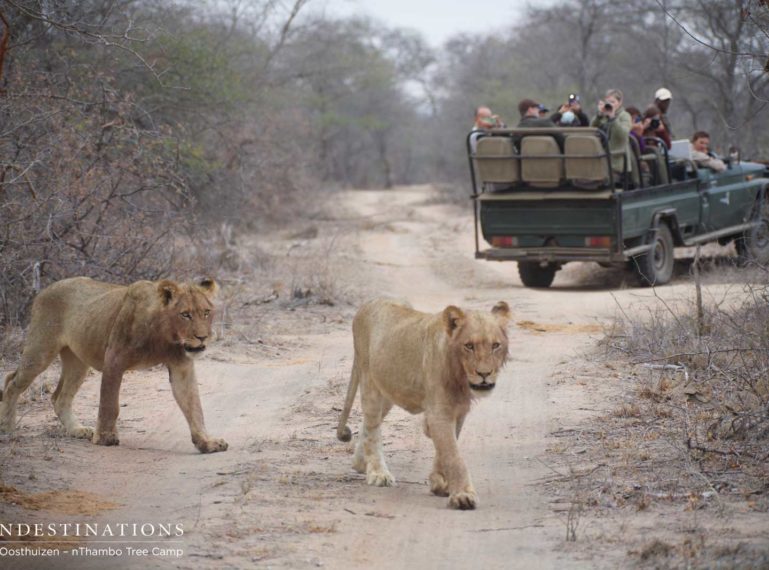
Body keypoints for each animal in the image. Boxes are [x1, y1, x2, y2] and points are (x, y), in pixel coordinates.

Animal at [0, 276, 228, 452]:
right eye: (185, 314)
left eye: (206, 312)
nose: (202, 337)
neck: (165, 336)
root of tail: (46, 289)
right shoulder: (114, 359)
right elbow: (109, 403)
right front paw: (105, 437)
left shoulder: (182, 366)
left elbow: (194, 406)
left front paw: (206, 442)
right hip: (40, 349)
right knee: (11, 381)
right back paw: (7, 427)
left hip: (77, 362)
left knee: (59, 397)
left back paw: (78, 430)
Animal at [336, 300, 510, 508]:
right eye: (469, 346)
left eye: (495, 345)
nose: (484, 374)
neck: (460, 376)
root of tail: (367, 304)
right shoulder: (439, 412)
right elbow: (453, 455)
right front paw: (463, 494)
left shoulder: (459, 411)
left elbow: (447, 446)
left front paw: (439, 483)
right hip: (370, 382)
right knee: (372, 429)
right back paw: (378, 473)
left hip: (388, 392)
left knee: (368, 425)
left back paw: (360, 463)